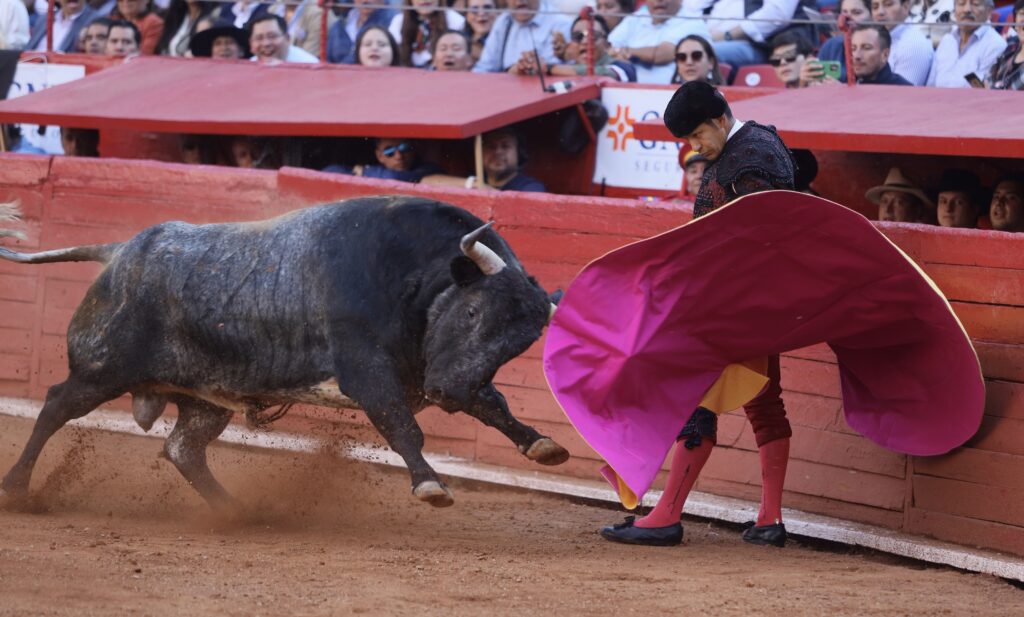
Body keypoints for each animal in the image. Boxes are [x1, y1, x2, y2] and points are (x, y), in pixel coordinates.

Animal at [0, 197, 569, 511]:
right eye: (472, 312)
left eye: (520, 345)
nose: (446, 393)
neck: (415, 278)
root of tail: (119, 252)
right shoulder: (369, 373)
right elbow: (403, 426)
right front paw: (430, 485)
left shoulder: (440, 371)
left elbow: (493, 404)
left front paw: (542, 446)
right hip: (101, 368)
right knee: (55, 406)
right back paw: (16, 489)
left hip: (206, 398)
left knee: (183, 449)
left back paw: (235, 512)